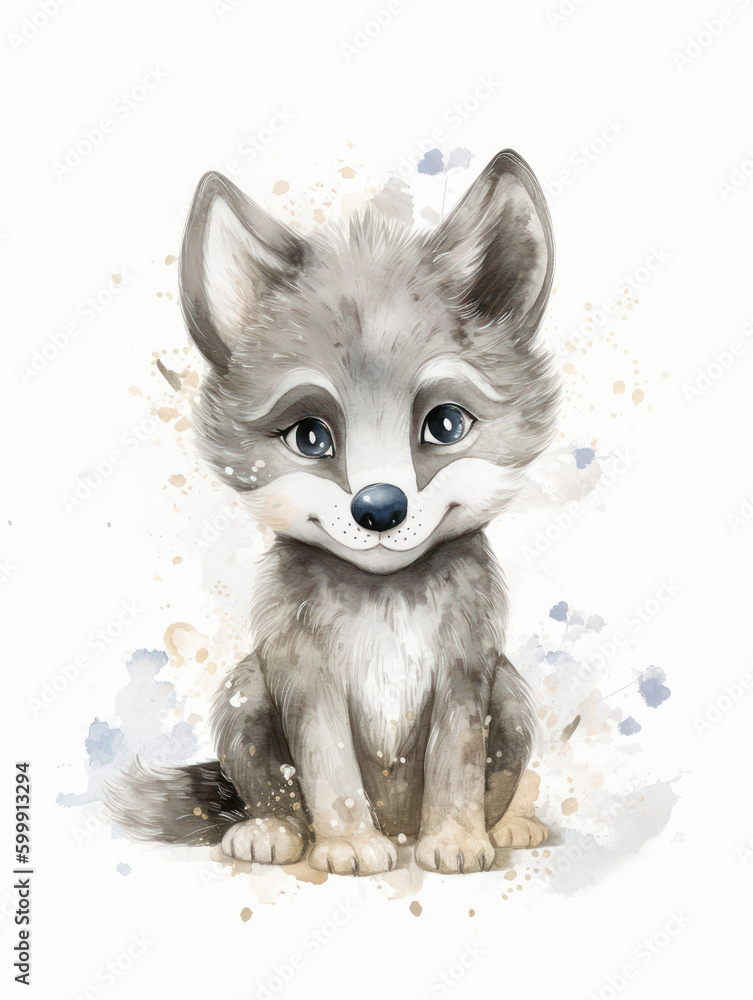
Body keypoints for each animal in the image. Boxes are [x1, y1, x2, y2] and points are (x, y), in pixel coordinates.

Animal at [104, 149, 559, 876]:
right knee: (270, 793)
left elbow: (457, 769)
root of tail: (399, 822)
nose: (379, 508)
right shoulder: (304, 681)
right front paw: (346, 844)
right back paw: (272, 831)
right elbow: (328, 771)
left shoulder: (466, 677)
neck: (385, 602)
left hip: (510, 694)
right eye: (310, 436)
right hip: (245, 692)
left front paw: (455, 840)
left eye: (445, 424)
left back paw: (510, 822)